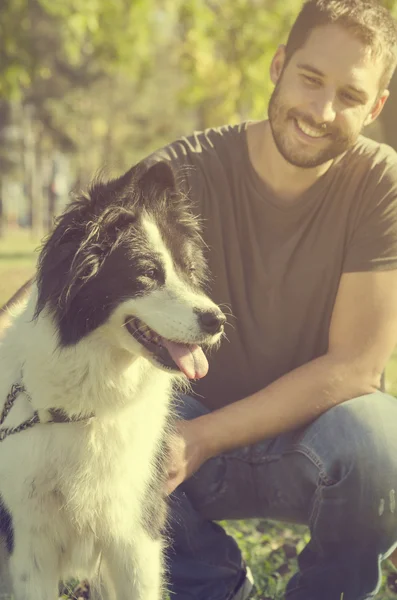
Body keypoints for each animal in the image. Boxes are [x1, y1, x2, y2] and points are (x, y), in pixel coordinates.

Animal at [0, 162, 224, 596]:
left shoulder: (135, 534)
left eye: (189, 272)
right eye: (148, 274)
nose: (217, 320)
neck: (84, 409)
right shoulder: (28, 545)